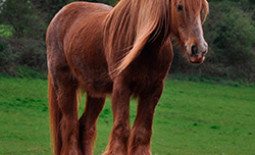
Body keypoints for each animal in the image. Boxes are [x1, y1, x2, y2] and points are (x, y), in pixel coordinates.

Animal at [46, 0, 209, 154]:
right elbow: (122, 129)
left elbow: (142, 131)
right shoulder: (121, 87)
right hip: (64, 86)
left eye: (201, 8)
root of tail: (58, 17)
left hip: (95, 93)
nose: (199, 50)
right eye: (179, 6)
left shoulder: (153, 90)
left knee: (86, 126)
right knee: (69, 125)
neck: (145, 49)